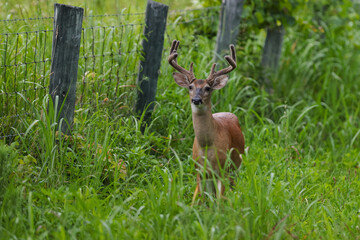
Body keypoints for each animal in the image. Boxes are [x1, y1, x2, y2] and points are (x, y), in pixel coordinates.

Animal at [169, 39, 245, 204]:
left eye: (208, 88)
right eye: (190, 86)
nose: (196, 100)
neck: (206, 145)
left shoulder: (222, 168)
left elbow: (220, 199)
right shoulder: (199, 170)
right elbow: (199, 199)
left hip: (236, 164)